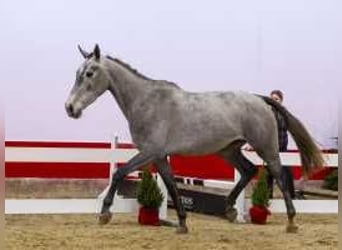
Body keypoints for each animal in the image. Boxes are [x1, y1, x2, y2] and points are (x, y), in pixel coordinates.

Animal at [66, 44, 324, 233]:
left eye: (89, 73)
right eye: (76, 73)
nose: (70, 108)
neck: (147, 102)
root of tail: (260, 99)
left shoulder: (149, 152)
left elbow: (119, 173)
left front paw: (104, 214)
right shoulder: (159, 157)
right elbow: (171, 185)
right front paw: (181, 223)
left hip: (265, 147)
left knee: (278, 175)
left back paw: (291, 221)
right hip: (228, 149)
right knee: (248, 170)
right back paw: (229, 210)